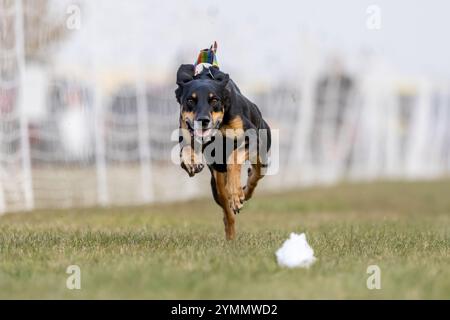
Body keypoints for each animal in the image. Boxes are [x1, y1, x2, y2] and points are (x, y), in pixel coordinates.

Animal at [175, 62, 270, 239]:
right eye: (190, 100)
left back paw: (243, 193)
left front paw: (237, 193)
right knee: (227, 213)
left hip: (262, 155)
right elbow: (186, 148)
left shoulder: (251, 136)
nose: (203, 120)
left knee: (256, 174)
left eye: (214, 100)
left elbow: (235, 157)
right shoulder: (185, 128)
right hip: (217, 185)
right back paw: (231, 236)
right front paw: (192, 161)